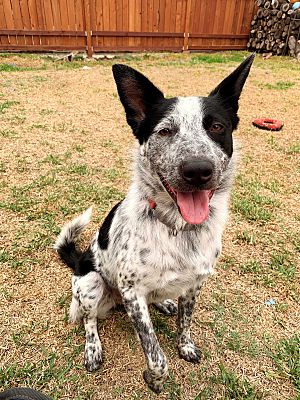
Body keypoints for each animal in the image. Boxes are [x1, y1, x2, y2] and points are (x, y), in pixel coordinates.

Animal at [53, 54, 253, 394]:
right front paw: (155, 380)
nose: (198, 170)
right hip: (91, 284)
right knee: (89, 321)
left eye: (216, 127)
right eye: (165, 131)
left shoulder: (195, 284)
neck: (178, 228)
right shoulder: (133, 294)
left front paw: (185, 346)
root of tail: (79, 260)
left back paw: (165, 304)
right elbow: (155, 352)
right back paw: (93, 349)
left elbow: (185, 322)